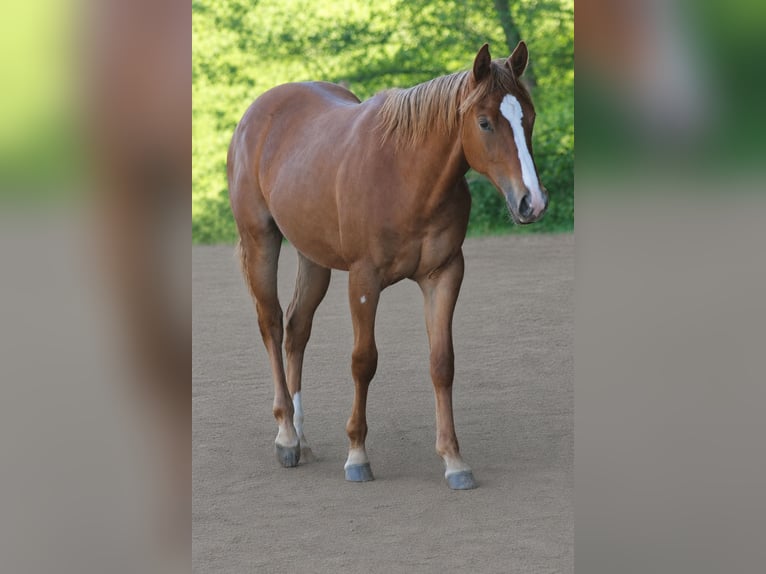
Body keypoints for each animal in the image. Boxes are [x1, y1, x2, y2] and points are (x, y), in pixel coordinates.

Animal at [228, 43, 548, 490]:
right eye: (484, 122)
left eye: (529, 118)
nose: (531, 201)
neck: (406, 175)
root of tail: (257, 113)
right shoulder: (364, 280)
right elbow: (364, 361)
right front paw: (357, 454)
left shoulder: (444, 275)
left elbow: (442, 363)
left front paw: (454, 460)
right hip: (261, 241)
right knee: (272, 325)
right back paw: (287, 436)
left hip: (313, 257)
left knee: (297, 329)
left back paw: (302, 436)